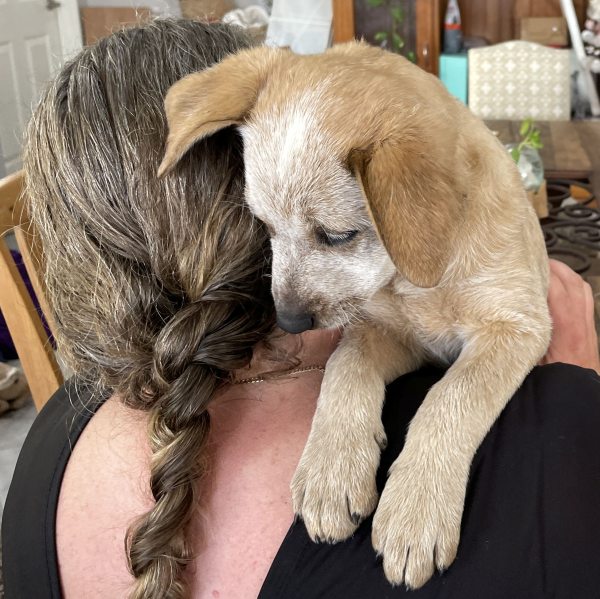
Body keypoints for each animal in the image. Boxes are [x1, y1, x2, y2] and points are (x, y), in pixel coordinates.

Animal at [157, 43, 552, 592]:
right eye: (263, 226)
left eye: (339, 235)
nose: (290, 321)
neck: (420, 280)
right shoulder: (389, 332)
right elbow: (344, 367)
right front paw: (332, 470)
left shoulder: (517, 327)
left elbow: (451, 396)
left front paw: (417, 506)